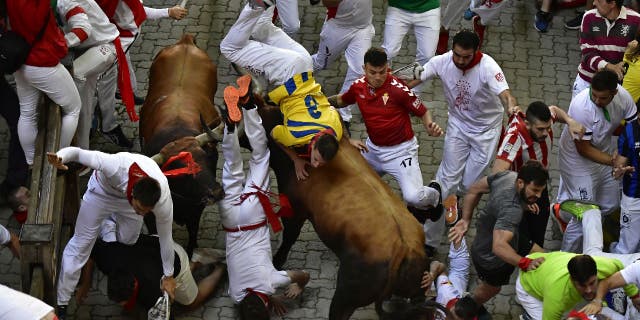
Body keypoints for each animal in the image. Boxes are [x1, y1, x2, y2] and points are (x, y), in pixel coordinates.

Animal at [139, 34, 221, 255]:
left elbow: (192, 239)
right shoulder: (150, 217)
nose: (216, 193)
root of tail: (185, 42)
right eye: (183, 171)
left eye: (209, 160)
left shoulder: (195, 211)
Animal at [252, 103, 428, 320]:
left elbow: (288, 238)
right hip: (416, 290)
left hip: (345, 297)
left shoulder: (294, 210)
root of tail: (404, 247)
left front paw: (276, 262)